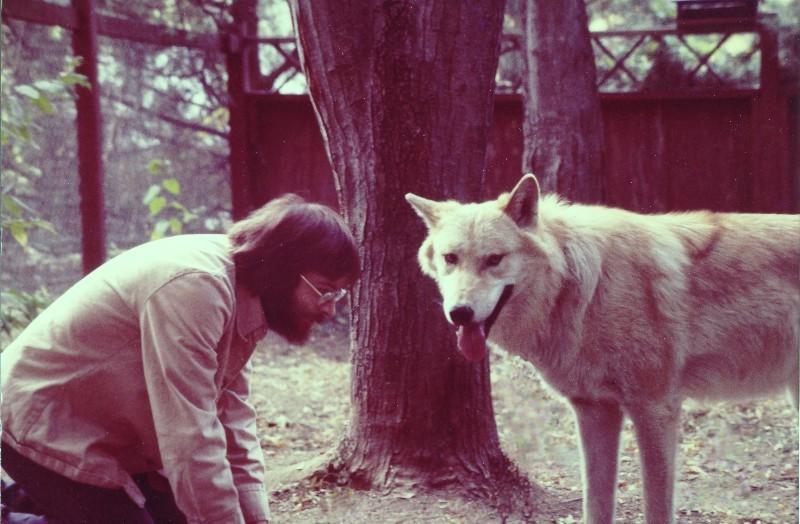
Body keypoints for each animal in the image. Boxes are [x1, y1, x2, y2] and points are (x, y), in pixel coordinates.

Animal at [410, 176, 796, 524]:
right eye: (450, 258)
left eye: (493, 259)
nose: (460, 313)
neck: (585, 289)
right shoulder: (595, 411)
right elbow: (595, 506)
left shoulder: (655, 409)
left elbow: (657, 509)